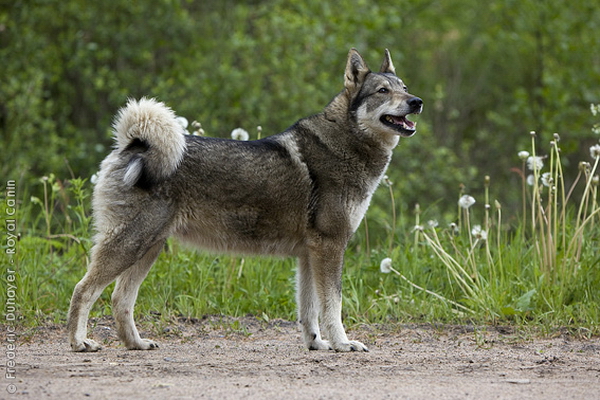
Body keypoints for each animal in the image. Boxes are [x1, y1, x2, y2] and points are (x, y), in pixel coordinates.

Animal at [67, 49, 422, 354]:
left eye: (404, 88)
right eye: (382, 91)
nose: (417, 102)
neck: (346, 142)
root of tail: (131, 145)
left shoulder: (309, 255)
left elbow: (309, 311)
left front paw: (317, 344)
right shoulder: (329, 247)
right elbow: (332, 306)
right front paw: (343, 344)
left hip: (149, 248)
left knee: (119, 300)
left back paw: (136, 344)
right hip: (132, 245)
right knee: (83, 290)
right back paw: (79, 342)